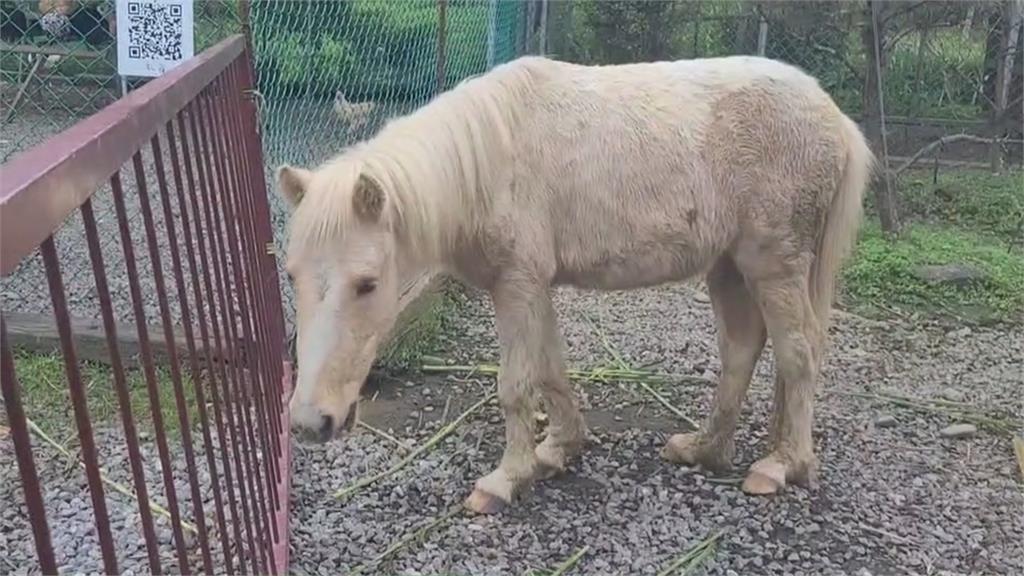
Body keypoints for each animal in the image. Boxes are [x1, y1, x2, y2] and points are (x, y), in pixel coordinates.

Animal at [278, 53, 872, 510]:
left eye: (367, 283)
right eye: (292, 276)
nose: (311, 422)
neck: (489, 164)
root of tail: (833, 117)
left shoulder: (517, 285)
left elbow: (516, 384)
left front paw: (506, 479)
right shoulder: (531, 287)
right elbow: (550, 369)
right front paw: (558, 450)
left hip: (775, 267)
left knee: (798, 355)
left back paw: (782, 465)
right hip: (729, 267)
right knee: (743, 349)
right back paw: (705, 448)